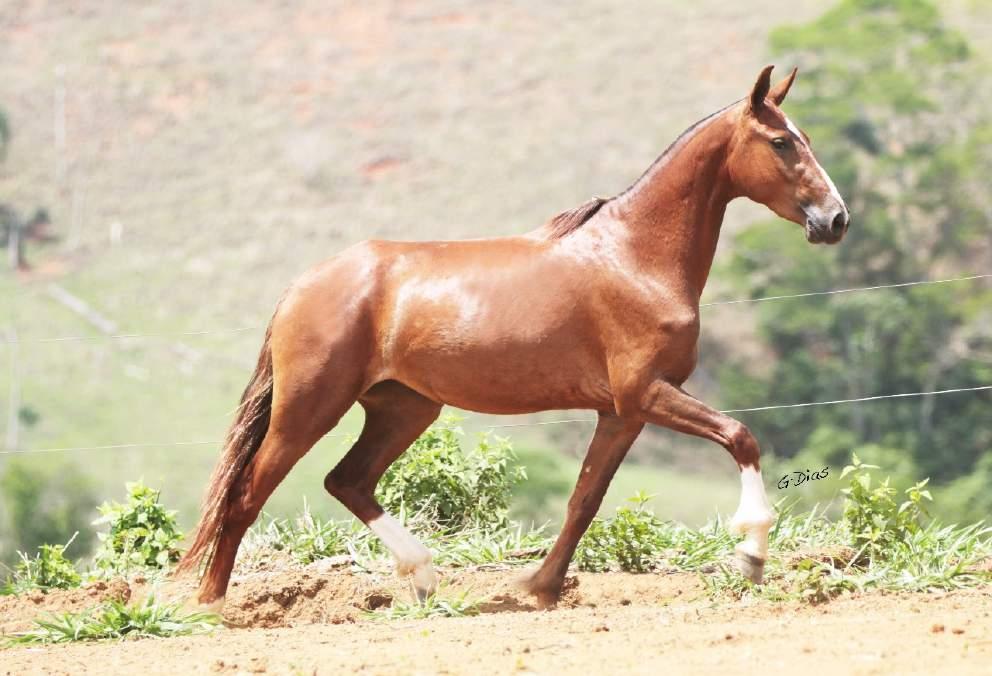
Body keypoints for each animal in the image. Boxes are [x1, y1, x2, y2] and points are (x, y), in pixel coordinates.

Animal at [174, 67, 848, 608]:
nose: (836, 219)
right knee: (247, 493)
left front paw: (540, 587)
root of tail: (301, 286)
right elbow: (741, 436)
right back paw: (212, 606)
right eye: (782, 141)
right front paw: (752, 554)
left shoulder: (621, 412)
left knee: (347, 481)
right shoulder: (647, 394)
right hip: (309, 408)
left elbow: (584, 500)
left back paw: (424, 577)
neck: (635, 256)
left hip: (403, 408)